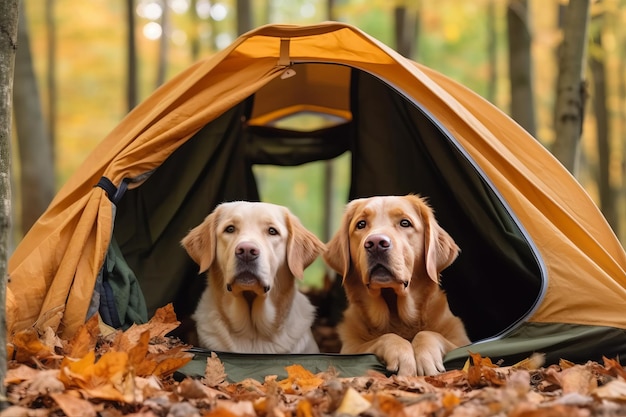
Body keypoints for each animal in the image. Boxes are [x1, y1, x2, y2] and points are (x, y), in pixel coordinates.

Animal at [324, 194, 466, 374]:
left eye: (405, 223)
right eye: (361, 224)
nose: (376, 243)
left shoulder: (461, 341)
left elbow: (429, 334)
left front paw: (426, 357)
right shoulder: (350, 349)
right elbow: (383, 338)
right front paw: (402, 356)